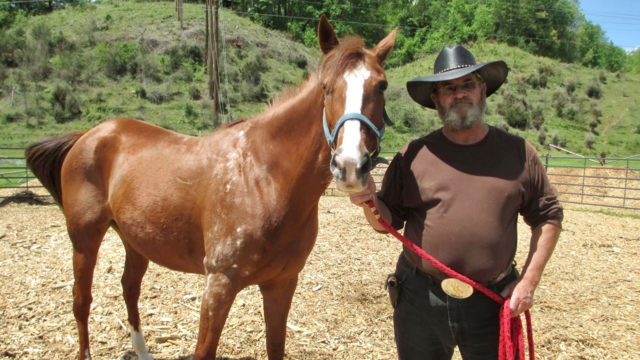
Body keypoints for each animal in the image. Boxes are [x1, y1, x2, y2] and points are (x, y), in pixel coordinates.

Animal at [25, 15, 398, 358]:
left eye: (381, 86)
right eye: (326, 86)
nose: (350, 166)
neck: (264, 178)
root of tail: (88, 135)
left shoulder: (281, 284)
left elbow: (275, 346)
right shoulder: (219, 284)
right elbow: (204, 349)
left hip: (135, 241)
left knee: (129, 289)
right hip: (85, 239)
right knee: (81, 300)